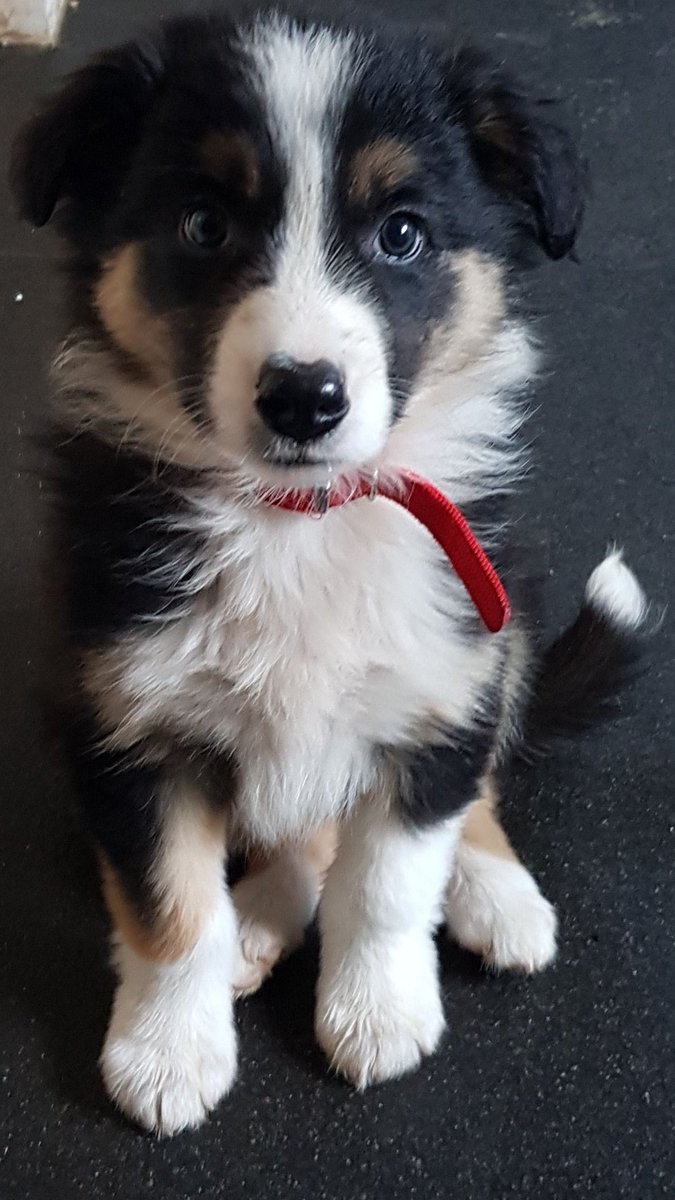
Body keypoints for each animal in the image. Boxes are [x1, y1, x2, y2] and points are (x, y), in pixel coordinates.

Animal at [9, 9, 638, 1132]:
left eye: (403, 234)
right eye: (203, 225)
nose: (304, 397)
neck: (298, 521)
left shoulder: (440, 679)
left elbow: (387, 880)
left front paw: (377, 1014)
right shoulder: (124, 718)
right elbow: (170, 902)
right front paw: (166, 1051)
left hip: (501, 629)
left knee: (470, 780)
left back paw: (494, 893)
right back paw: (259, 917)